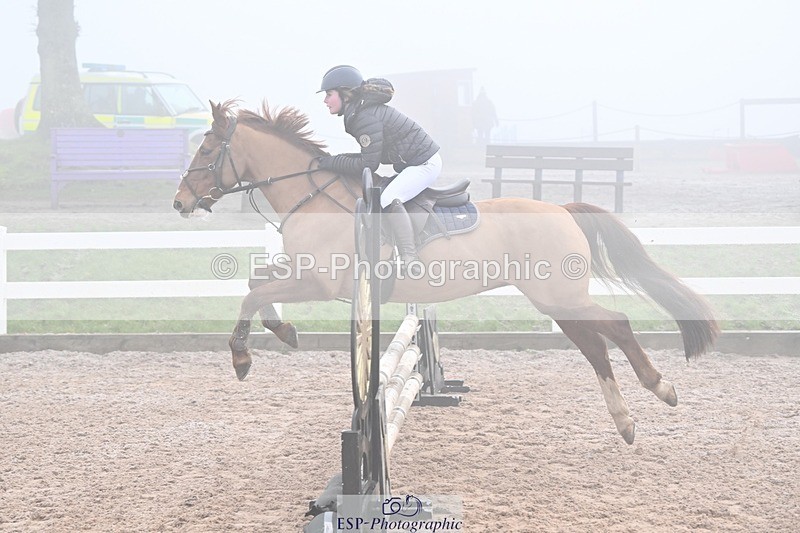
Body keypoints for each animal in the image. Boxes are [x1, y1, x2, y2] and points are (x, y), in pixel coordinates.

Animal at [173, 100, 718, 444]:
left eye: (206, 151)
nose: (179, 202)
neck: (313, 197)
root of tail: (562, 208)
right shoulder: (303, 275)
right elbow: (256, 284)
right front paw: (280, 330)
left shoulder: (320, 282)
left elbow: (251, 293)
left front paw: (244, 356)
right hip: (556, 301)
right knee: (595, 345)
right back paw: (626, 421)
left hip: (559, 297)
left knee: (615, 327)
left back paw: (661, 388)